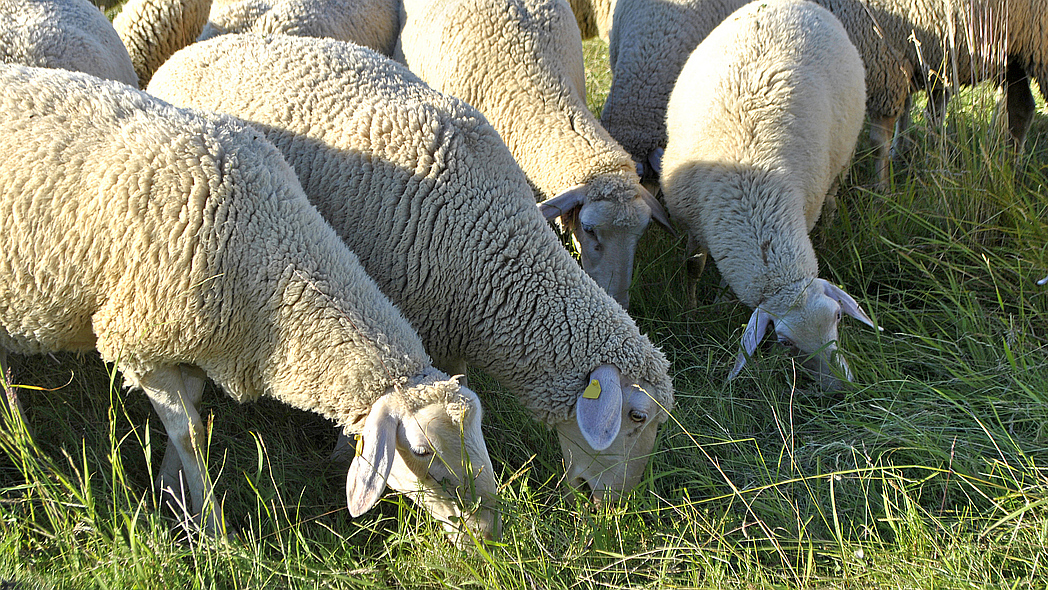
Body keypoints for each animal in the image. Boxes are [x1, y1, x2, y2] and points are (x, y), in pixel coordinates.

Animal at [0, 62, 498, 542]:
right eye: (421, 450)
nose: (490, 534)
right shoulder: (135, 342)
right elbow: (191, 433)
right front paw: (213, 529)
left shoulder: (196, 345)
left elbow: (190, 416)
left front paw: (171, 492)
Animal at [147, 33, 675, 499]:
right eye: (636, 417)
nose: (618, 502)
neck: (497, 247)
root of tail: (187, 53)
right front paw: (346, 455)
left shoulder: (450, 330)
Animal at [660, 0, 875, 390]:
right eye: (784, 341)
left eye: (838, 317)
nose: (842, 388)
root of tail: (793, 3)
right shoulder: (692, 220)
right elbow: (693, 267)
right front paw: (693, 309)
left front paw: (720, 300)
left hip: (843, 155)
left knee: (834, 197)